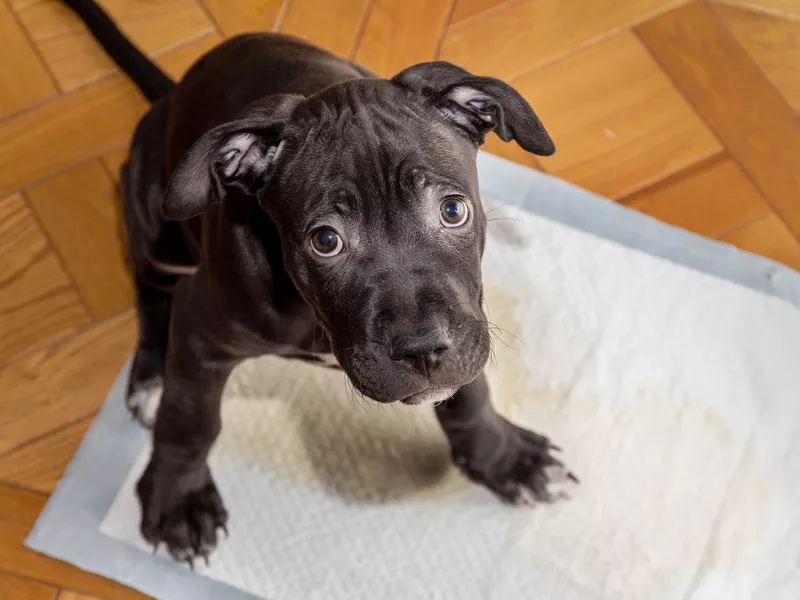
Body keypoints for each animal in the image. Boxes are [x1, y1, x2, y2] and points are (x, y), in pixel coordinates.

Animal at [62, 0, 576, 564]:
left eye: (453, 210)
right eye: (325, 241)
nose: (422, 350)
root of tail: (171, 94)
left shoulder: (467, 321)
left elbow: (470, 389)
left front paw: (504, 459)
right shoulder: (199, 328)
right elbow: (190, 420)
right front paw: (179, 500)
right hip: (157, 233)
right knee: (152, 292)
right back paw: (151, 380)